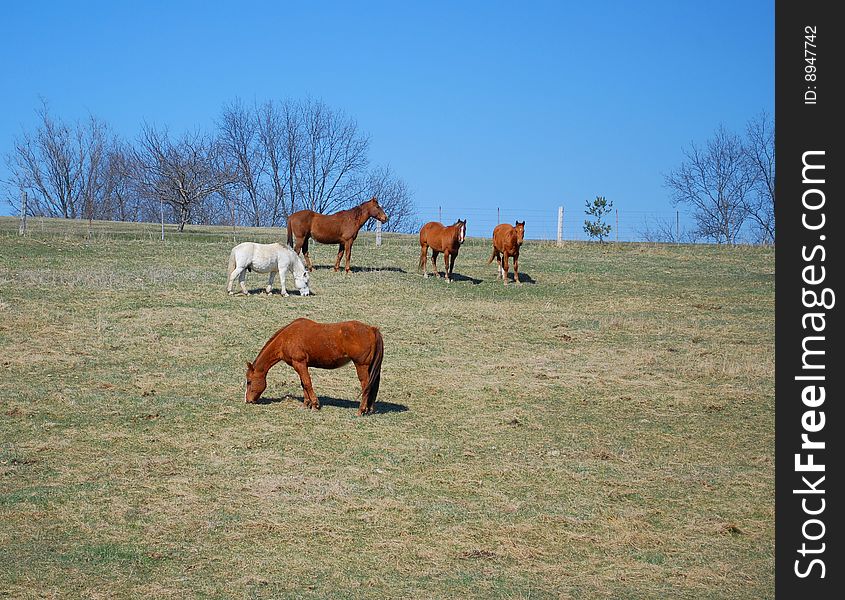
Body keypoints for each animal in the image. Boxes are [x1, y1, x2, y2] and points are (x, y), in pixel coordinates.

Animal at [244, 318, 382, 418]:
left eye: (249, 381)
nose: (248, 401)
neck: (286, 338)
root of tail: (372, 329)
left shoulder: (299, 363)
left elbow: (307, 383)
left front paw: (315, 405)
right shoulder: (301, 365)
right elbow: (303, 384)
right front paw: (306, 404)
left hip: (361, 366)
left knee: (365, 386)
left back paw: (360, 410)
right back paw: (369, 409)